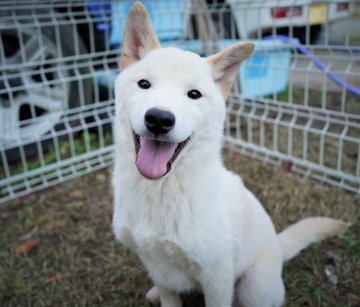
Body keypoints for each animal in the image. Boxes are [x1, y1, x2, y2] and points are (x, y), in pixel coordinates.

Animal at [113, 3, 348, 307]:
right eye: (144, 84)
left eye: (193, 94)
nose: (159, 119)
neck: (161, 191)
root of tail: (277, 246)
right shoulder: (155, 264)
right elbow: (167, 293)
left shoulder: (217, 276)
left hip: (253, 288)